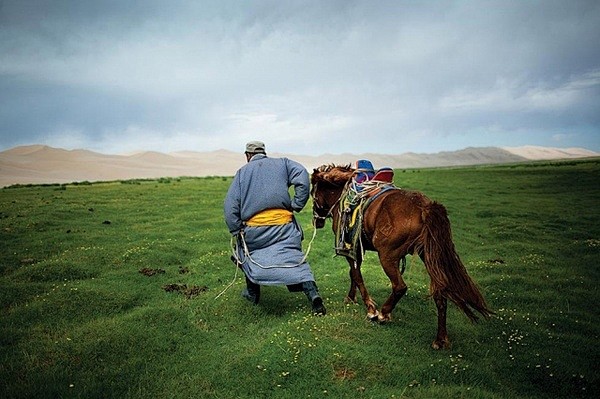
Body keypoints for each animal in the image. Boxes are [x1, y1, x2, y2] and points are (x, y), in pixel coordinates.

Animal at [310, 164, 492, 348]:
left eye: (312, 193)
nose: (316, 221)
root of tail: (424, 206)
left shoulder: (352, 249)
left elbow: (356, 275)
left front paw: (370, 308)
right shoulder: (356, 250)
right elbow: (353, 274)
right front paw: (351, 298)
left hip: (387, 256)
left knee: (400, 286)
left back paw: (383, 314)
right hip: (428, 256)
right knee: (441, 292)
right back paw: (440, 339)